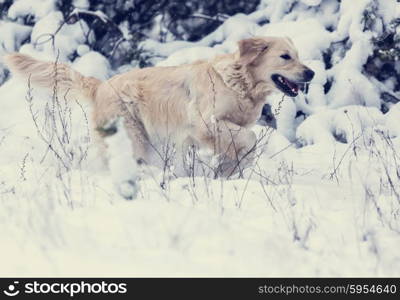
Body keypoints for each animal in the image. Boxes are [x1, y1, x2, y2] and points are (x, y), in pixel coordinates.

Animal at [4, 36, 314, 177]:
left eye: (298, 55)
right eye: (285, 57)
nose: (311, 73)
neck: (239, 82)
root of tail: (101, 85)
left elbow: (244, 145)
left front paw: (228, 170)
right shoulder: (205, 123)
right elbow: (248, 137)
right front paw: (230, 166)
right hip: (135, 138)